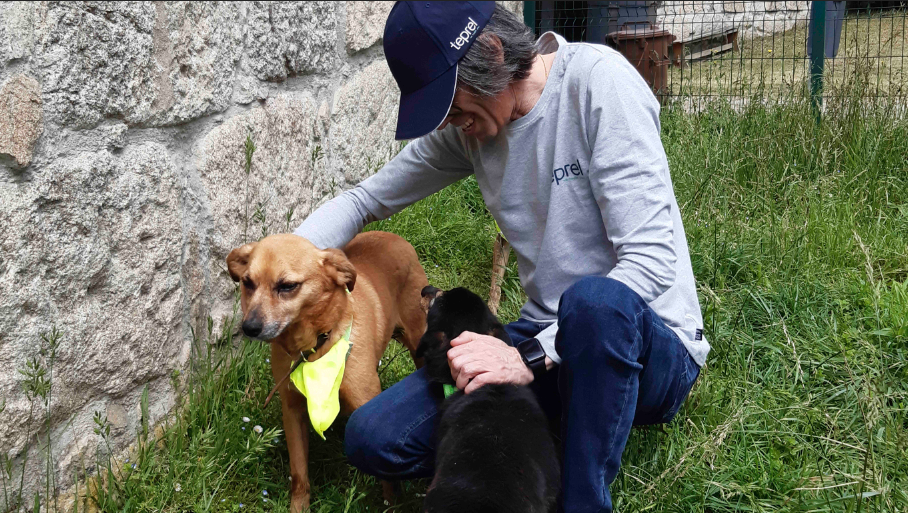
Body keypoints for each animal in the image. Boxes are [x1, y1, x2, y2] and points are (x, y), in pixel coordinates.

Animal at [225, 232, 428, 512]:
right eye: (247, 282)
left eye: (287, 286)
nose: (249, 327)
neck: (314, 349)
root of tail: (392, 235)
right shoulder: (293, 412)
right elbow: (299, 474)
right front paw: (299, 507)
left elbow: (387, 477)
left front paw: (392, 503)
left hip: (420, 345)